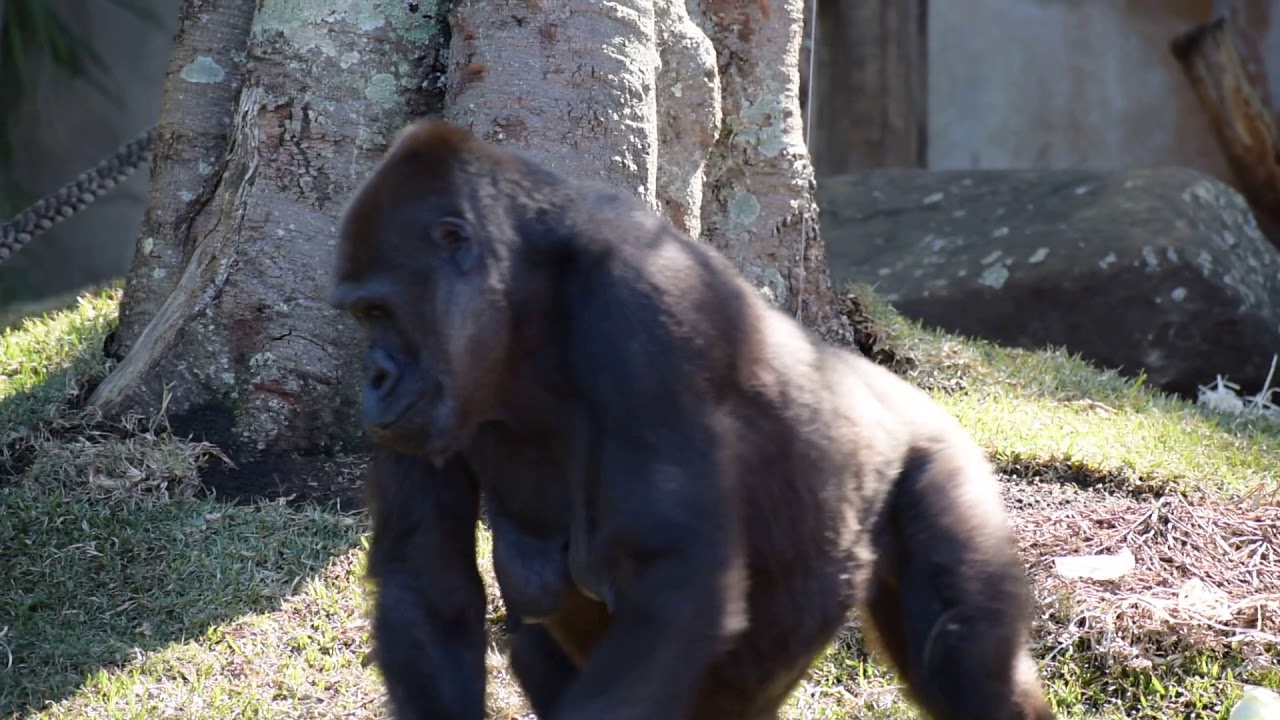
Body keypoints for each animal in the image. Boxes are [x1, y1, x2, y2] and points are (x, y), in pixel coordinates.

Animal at [330, 119, 1057, 720]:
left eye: (380, 311)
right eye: (361, 317)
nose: (373, 379)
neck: (524, 302)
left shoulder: (650, 308)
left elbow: (678, 576)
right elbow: (426, 583)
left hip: (937, 457)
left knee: (967, 662)